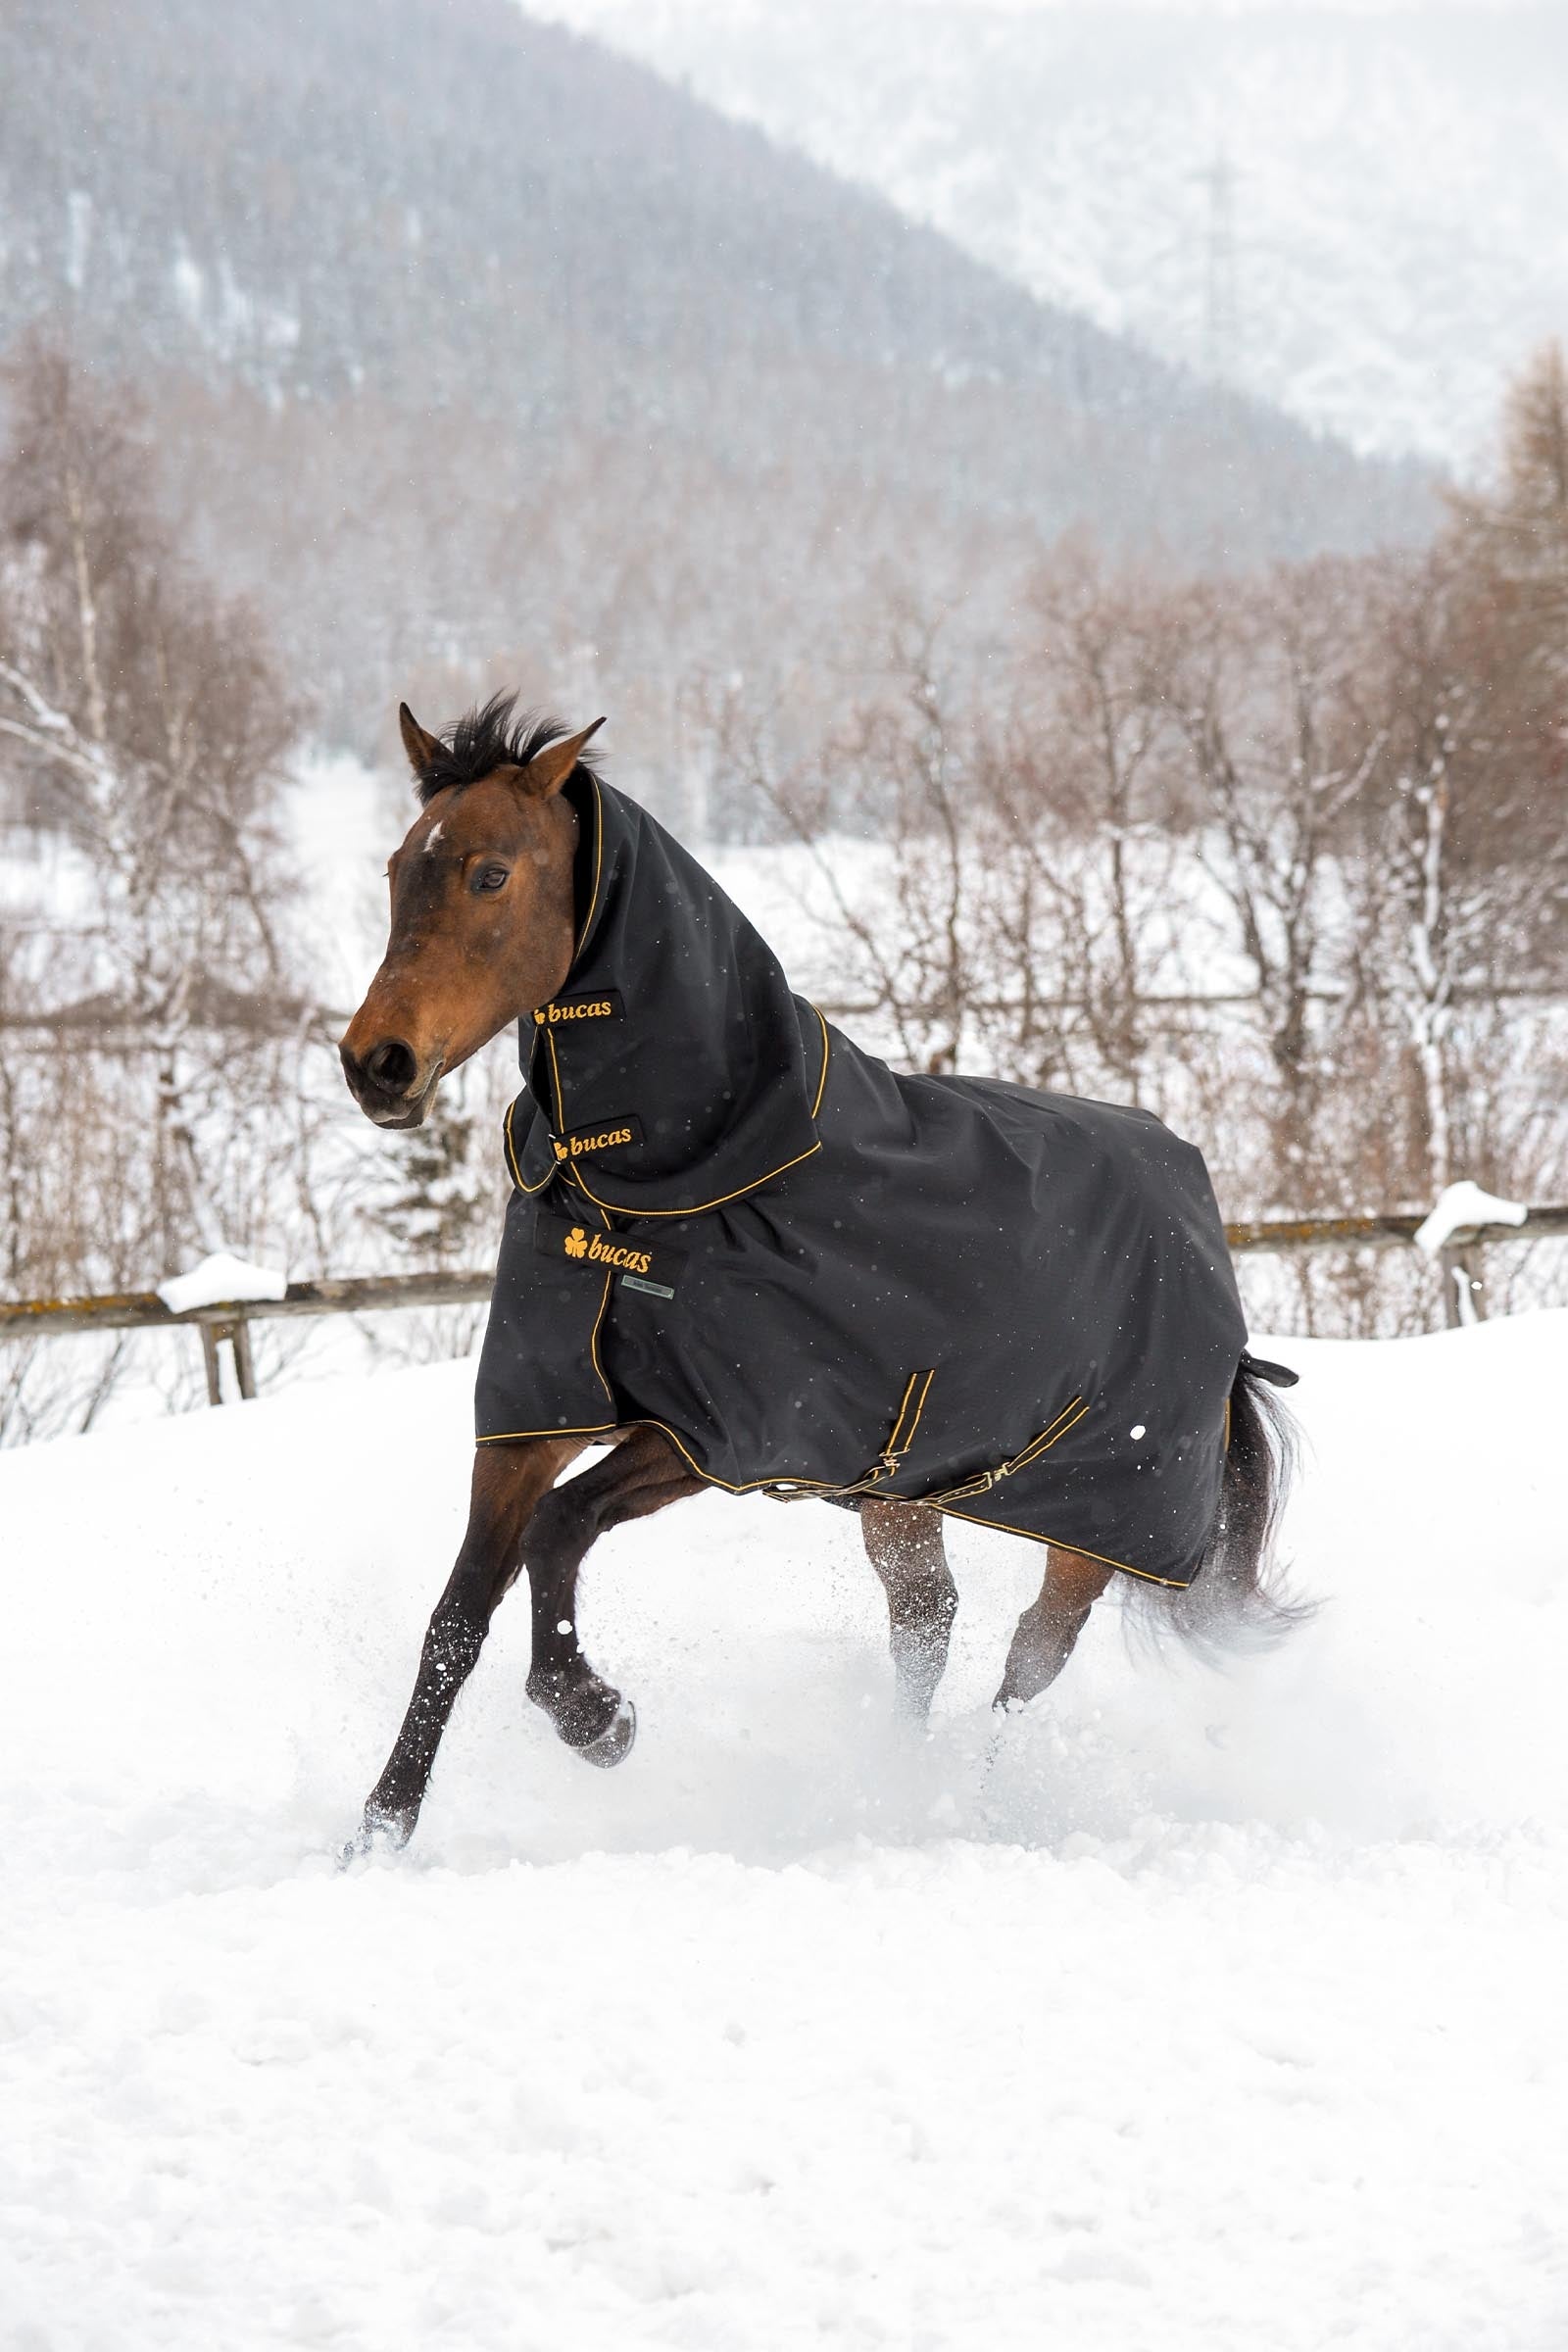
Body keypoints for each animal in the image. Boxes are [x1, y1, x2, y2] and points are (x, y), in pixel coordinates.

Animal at [339, 696, 1298, 1853]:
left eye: (490, 874)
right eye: (401, 868)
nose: (376, 1065)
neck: (658, 1185)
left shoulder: (715, 1432)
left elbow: (558, 1531)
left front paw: (597, 1719)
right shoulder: (535, 1415)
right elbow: (458, 1614)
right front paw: (377, 1833)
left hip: (1095, 1522)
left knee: (1030, 1659)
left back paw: (974, 1806)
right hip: (903, 1495)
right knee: (927, 1623)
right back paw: (895, 1784)